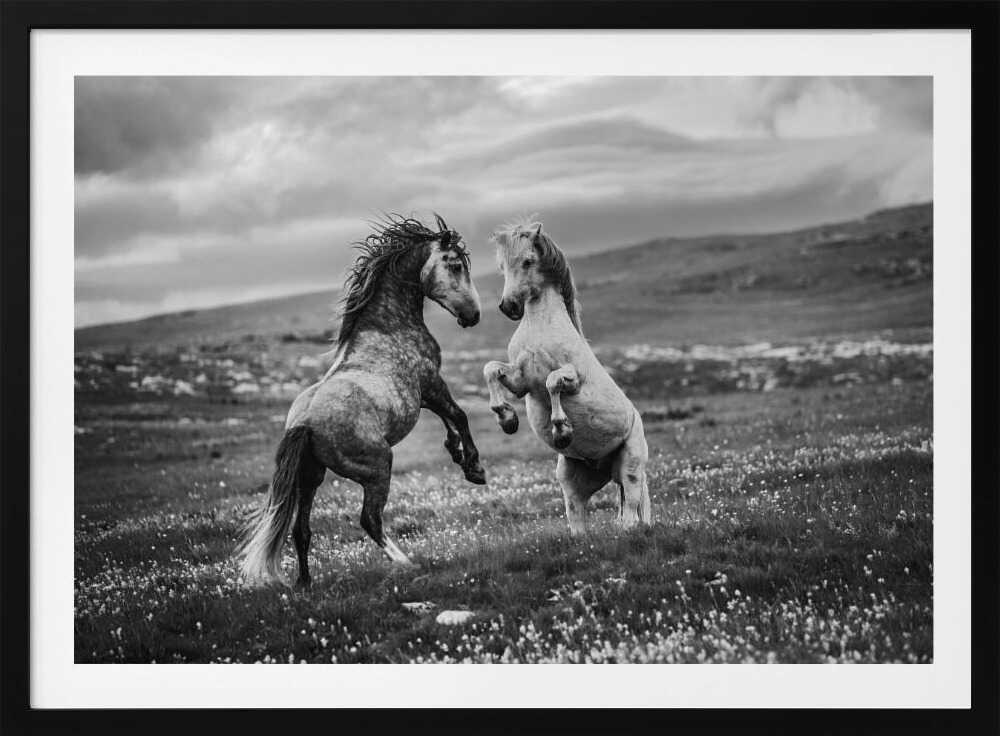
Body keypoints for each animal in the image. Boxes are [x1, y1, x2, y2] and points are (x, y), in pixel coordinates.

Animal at [238, 214, 486, 588]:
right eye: (455, 265)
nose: (473, 315)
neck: (389, 328)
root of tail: (304, 424)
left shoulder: (423, 396)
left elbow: (449, 420)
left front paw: (456, 453)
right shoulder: (431, 384)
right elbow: (459, 415)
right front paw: (473, 467)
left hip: (310, 479)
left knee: (301, 530)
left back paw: (305, 583)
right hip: (377, 467)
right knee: (370, 520)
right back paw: (407, 563)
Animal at [483, 220, 651, 535]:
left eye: (527, 261)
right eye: (502, 266)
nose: (508, 306)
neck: (540, 327)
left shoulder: (573, 379)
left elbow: (553, 383)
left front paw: (561, 430)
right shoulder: (520, 382)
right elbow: (491, 370)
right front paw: (506, 418)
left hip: (631, 468)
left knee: (632, 514)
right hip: (572, 480)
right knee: (578, 520)